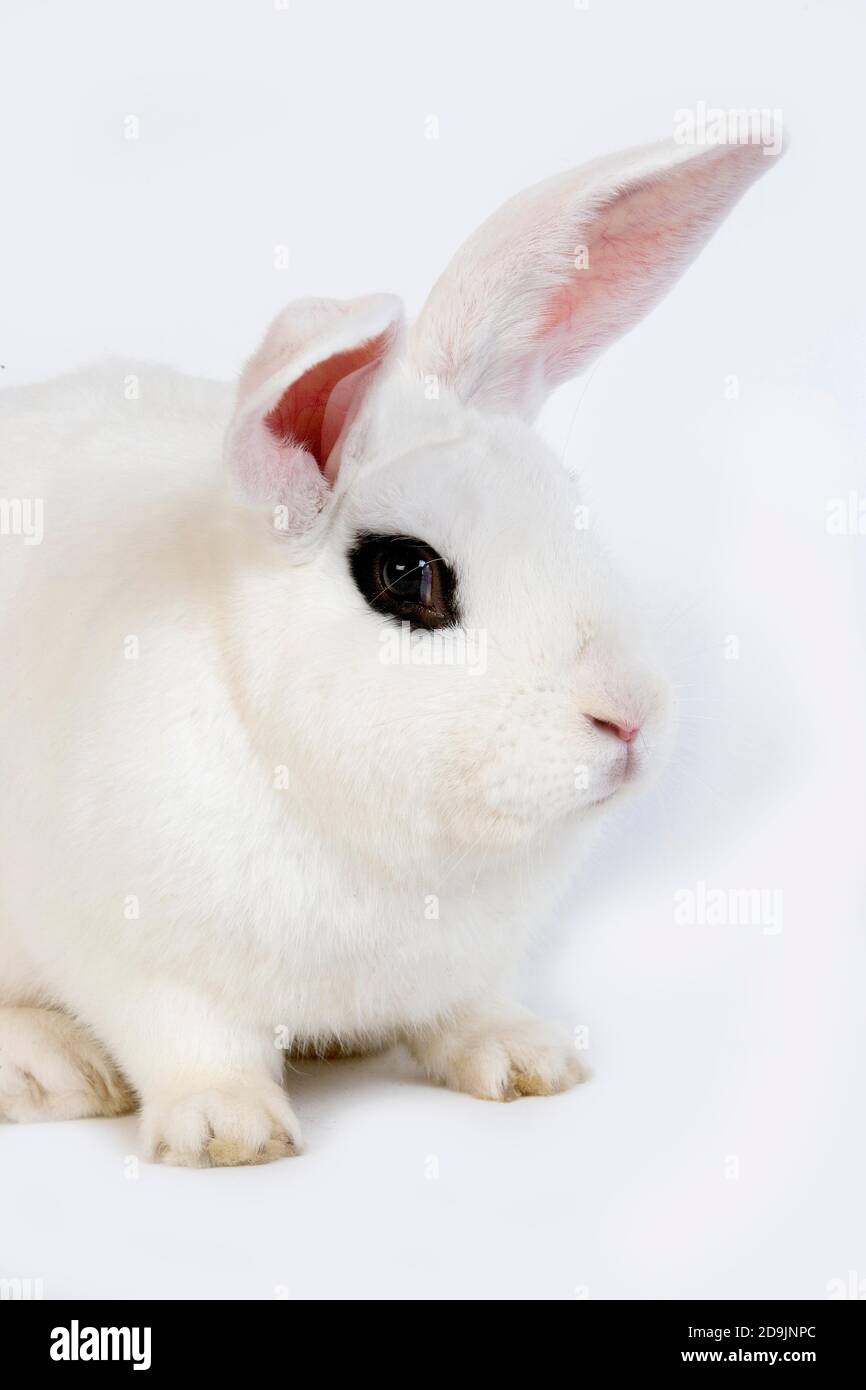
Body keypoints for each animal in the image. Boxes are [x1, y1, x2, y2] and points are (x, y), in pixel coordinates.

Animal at [0, 138, 783, 1162]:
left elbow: (467, 1011)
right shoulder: (141, 963)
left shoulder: (469, 966)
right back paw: (51, 1071)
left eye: (569, 503)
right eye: (406, 575)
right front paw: (230, 1133)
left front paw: (528, 1063)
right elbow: (193, 1044)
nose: (629, 718)